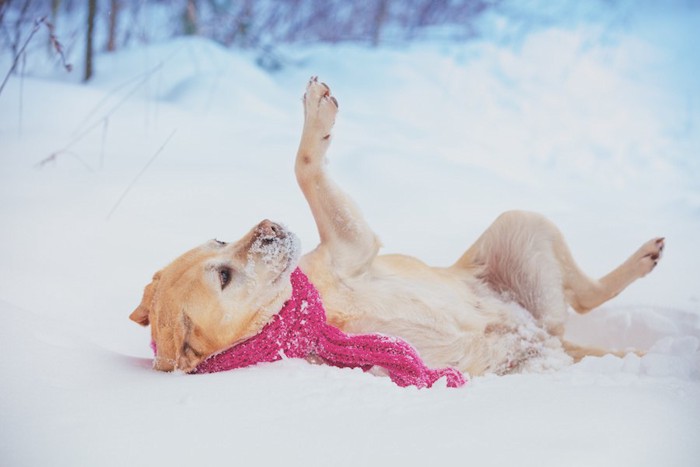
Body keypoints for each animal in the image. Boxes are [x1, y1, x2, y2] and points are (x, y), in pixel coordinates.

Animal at [130, 77, 660, 376]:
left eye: (219, 239)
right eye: (224, 277)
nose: (268, 226)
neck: (306, 310)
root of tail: (546, 339)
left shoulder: (348, 249)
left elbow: (306, 168)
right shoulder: (353, 242)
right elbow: (306, 165)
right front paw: (317, 116)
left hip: (522, 225)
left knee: (583, 294)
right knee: (585, 299)